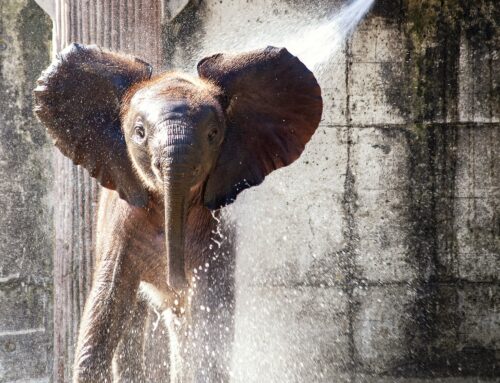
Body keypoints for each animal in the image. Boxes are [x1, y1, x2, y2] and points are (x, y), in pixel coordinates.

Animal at [36, 42, 324, 383]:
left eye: (213, 134)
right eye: (139, 132)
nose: (176, 279)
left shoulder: (215, 234)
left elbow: (206, 317)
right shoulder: (121, 224)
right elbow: (106, 303)